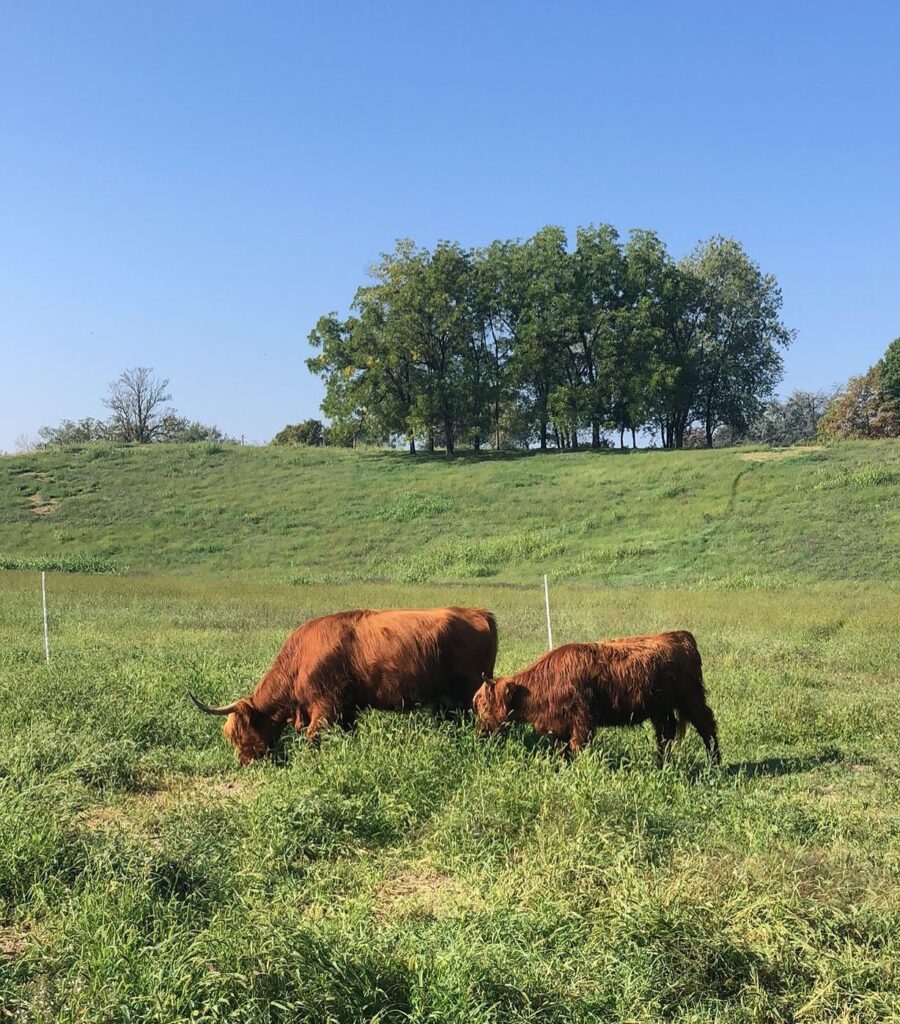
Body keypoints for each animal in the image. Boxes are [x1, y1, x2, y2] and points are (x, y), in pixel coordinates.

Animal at [190, 606, 499, 761]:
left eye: (241, 734)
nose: (244, 762)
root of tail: (480, 613)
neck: (299, 659)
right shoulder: (347, 710)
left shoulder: (325, 707)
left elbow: (312, 739)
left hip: (471, 691)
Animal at [475, 626, 720, 765]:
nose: (479, 732)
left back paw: (715, 765)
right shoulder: (560, 726)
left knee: (707, 727)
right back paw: (661, 765)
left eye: (484, 706)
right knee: (665, 734)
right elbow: (561, 751)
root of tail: (680, 636)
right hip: (660, 708)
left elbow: (578, 747)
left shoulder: (582, 721)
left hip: (692, 699)